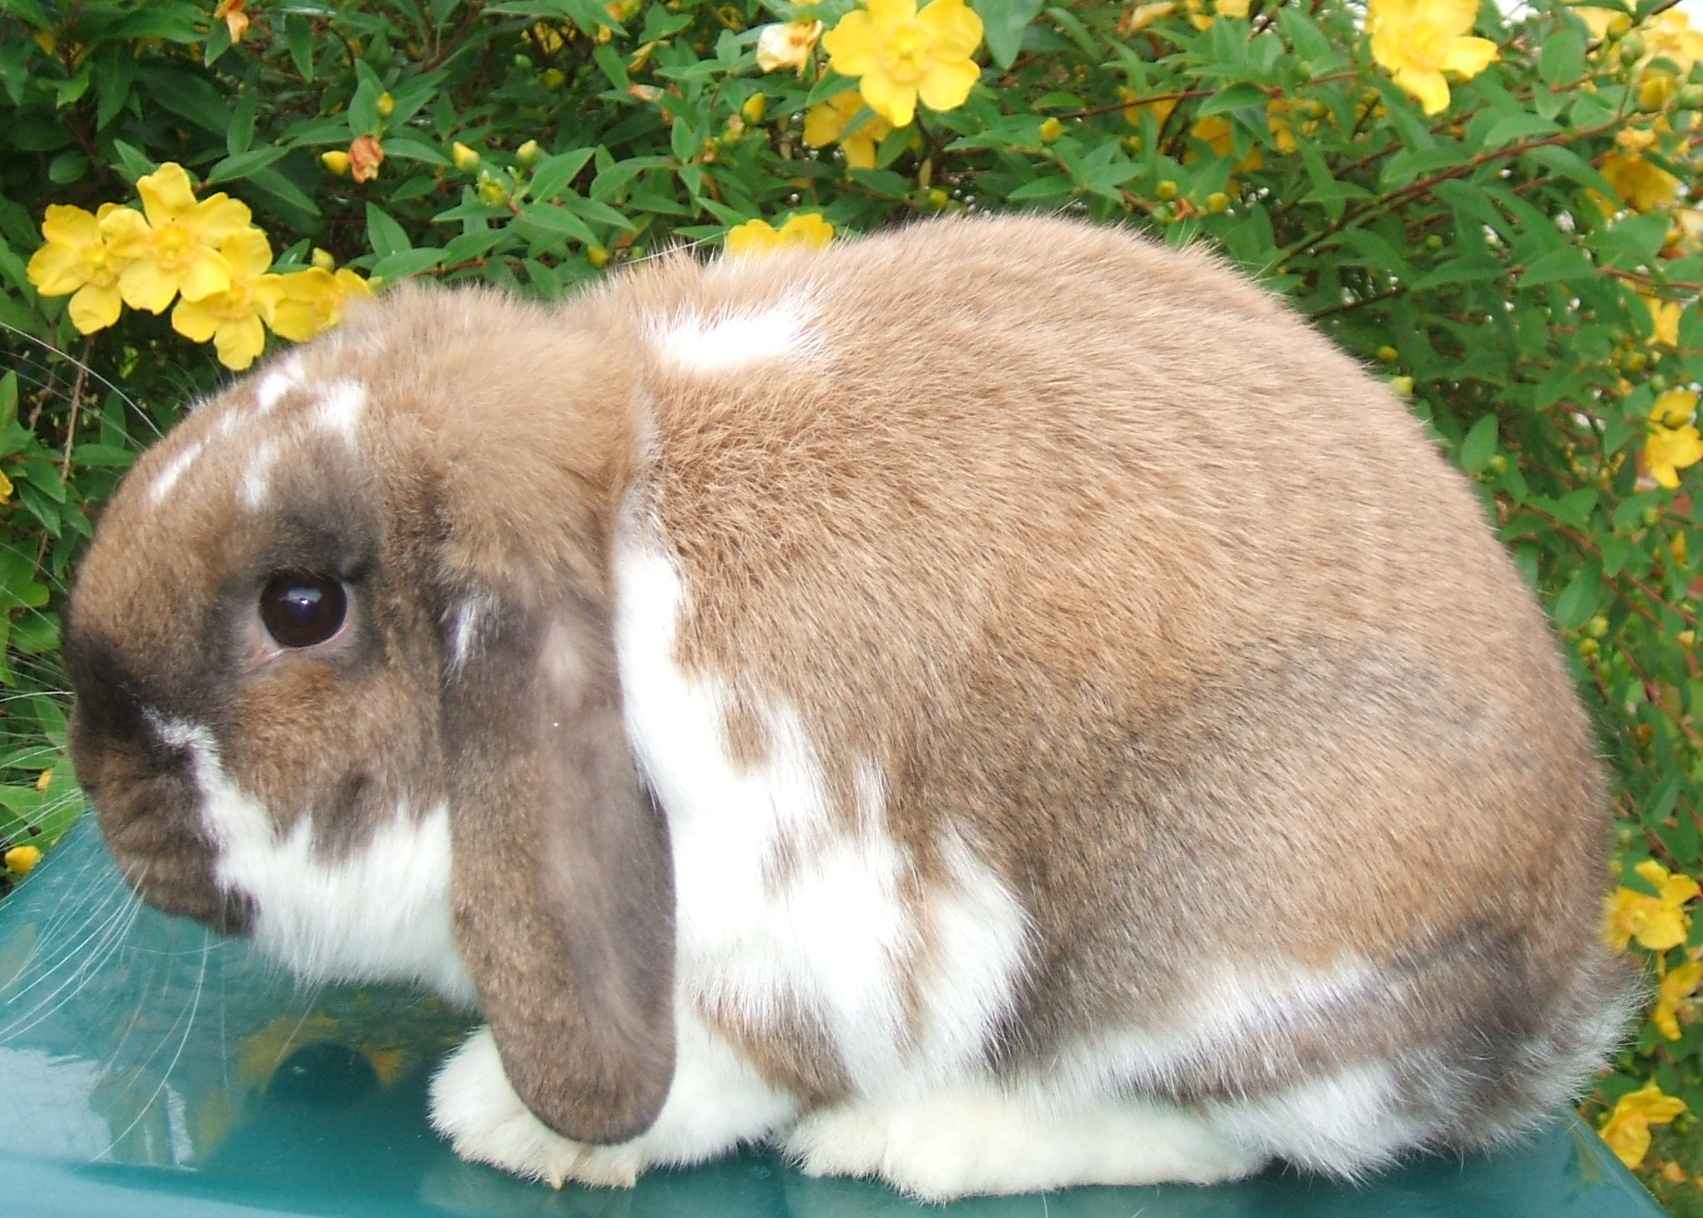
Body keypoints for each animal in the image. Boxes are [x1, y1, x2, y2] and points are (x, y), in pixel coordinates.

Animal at [63, 213, 1636, 1200]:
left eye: (301, 607)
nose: (94, 771)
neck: (618, 526)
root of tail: (1552, 996)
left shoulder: (805, 920)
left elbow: (726, 1057)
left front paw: (519, 1126)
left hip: (1234, 945)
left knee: (1237, 1133)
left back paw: (921, 1143)